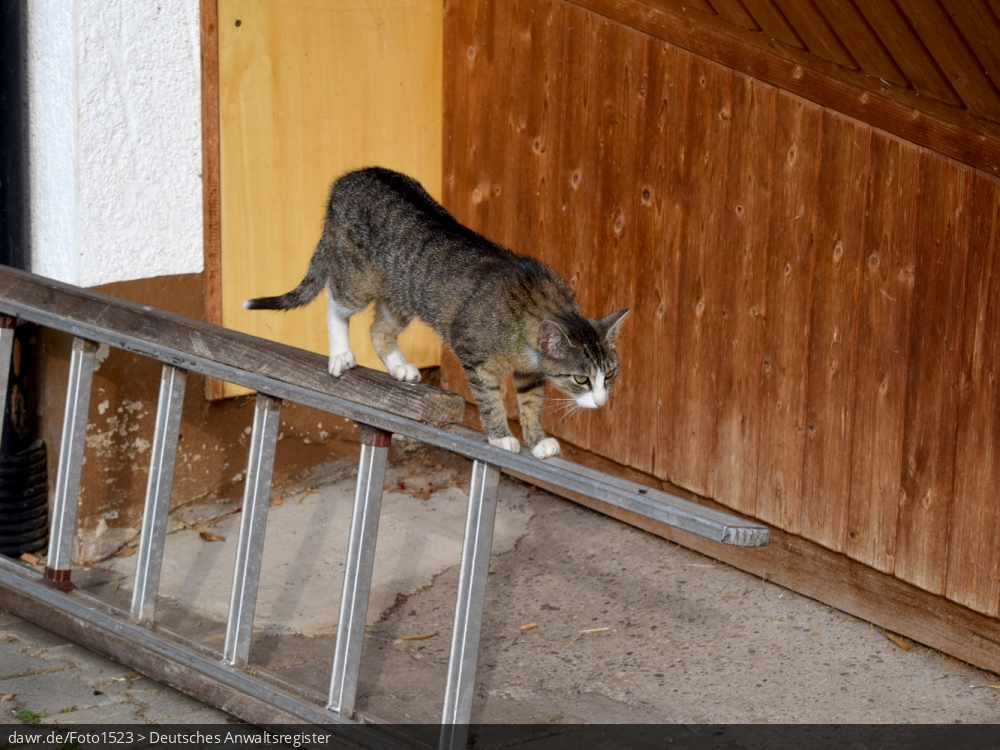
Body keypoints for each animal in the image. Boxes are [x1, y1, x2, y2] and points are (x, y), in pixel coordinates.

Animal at [243, 168, 628, 462]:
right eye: (581, 379)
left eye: (609, 375)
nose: (601, 400)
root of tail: (347, 179)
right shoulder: (472, 353)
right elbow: (490, 398)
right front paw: (501, 436)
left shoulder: (530, 373)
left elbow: (531, 403)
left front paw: (536, 439)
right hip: (356, 277)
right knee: (335, 301)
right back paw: (340, 354)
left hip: (402, 296)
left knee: (380, 330)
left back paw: (399, 367)